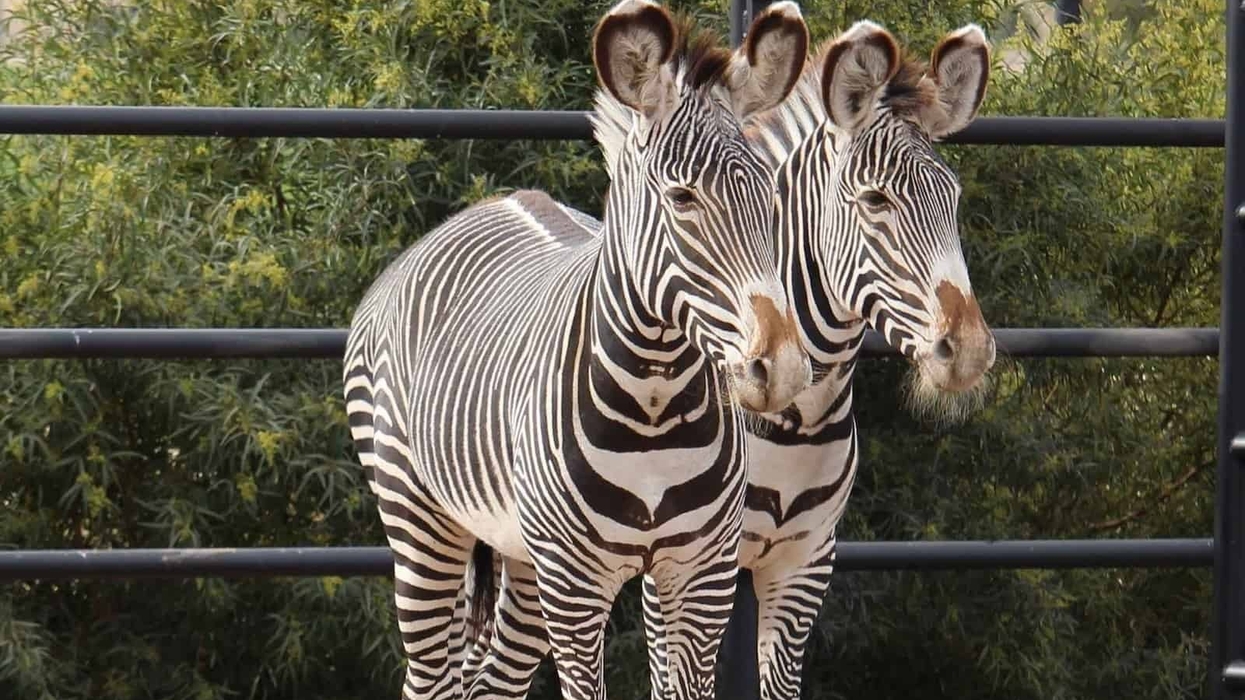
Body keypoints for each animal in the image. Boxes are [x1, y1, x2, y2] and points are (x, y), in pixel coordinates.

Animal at [341, 2, 811, 700]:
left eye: (770, 199)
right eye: (682, 197)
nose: (781, 368)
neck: (654, 404)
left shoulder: (702, 576)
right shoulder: (574, 586)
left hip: (518, 554)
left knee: (490, 683)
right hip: (417, 518)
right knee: (429, 678)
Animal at [459, 16, 997, 700]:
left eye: (952, 198)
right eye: (876, 201)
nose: (972, 351)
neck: (799, 420)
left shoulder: (804, 562)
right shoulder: (682, 570)